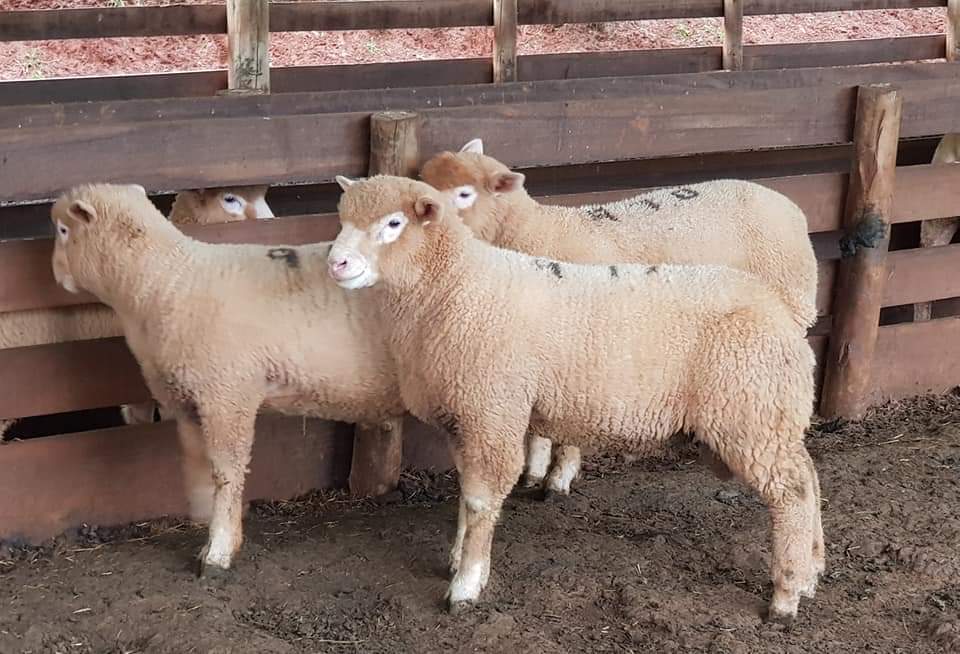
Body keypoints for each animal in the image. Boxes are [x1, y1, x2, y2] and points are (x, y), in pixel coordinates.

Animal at [49, 183, 404, 577]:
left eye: (62, 230)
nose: (56, 273)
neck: (166, 279)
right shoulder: (190, 400)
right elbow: (198, 465)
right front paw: (208, 519)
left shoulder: (227, 394)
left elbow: (226, 472)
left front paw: (219, 550)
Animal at [328, 174, 824, 624]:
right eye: (343, 218)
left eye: (393, 223)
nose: (336, 263)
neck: (455, 286)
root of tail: (779, 310)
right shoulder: (466, 417)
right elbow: (467, 496)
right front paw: (462, 557)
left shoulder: (493, 410)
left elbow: (481, 501)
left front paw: (466, 584)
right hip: (770, 412)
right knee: (809, 475)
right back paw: (813, 570)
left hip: (750, 410)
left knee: (793, 493)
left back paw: (786, 595)